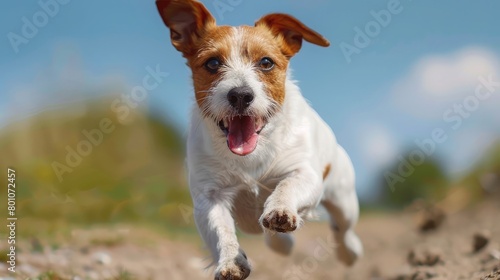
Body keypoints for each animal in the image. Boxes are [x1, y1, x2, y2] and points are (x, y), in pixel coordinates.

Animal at [156, 1, 364, 278]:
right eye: (212, 63)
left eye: (266, 62)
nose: (241, 95)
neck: (251, 154)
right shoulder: (209, 198)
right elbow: (221, 232)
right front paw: (230, 262)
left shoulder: (304, 173)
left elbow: (287, 186)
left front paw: (280, 209)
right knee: (271, 237)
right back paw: (282, 242)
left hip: (344, 200)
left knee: (343, 229)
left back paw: (348, 252)